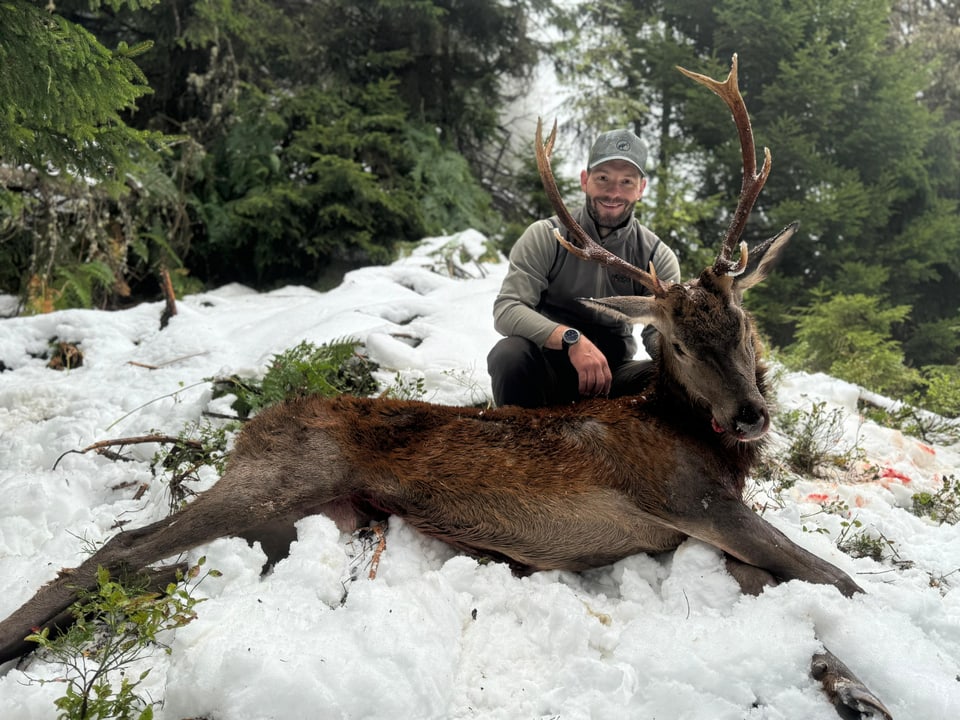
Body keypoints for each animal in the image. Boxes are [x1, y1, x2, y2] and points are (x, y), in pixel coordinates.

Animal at [0, 57, 892, 720]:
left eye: (741, 322)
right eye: (671, 338)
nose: (749, 415)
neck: (695, 440)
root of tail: (251, 424)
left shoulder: (709, 525)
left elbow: (807, 599)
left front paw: (856, 689)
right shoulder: (690, 500)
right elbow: (842, 581)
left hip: (294, 521)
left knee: (151, 571)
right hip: (278, 478)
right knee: (117, 549)